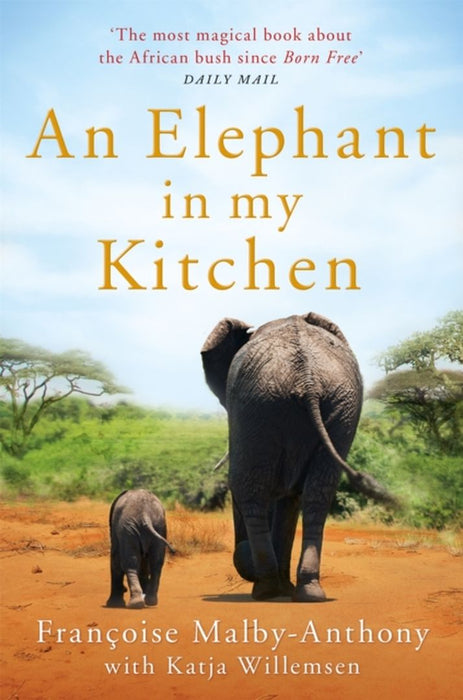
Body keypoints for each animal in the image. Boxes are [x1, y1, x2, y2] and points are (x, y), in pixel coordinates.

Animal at [201, 311, 394, 603]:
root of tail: (308, 380)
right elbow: (290, 498)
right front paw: (286, 588)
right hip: (337, 406)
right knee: (318, 493)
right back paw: (306, 591)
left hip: (260, 404)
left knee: (250, 488)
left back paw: (267, 590)